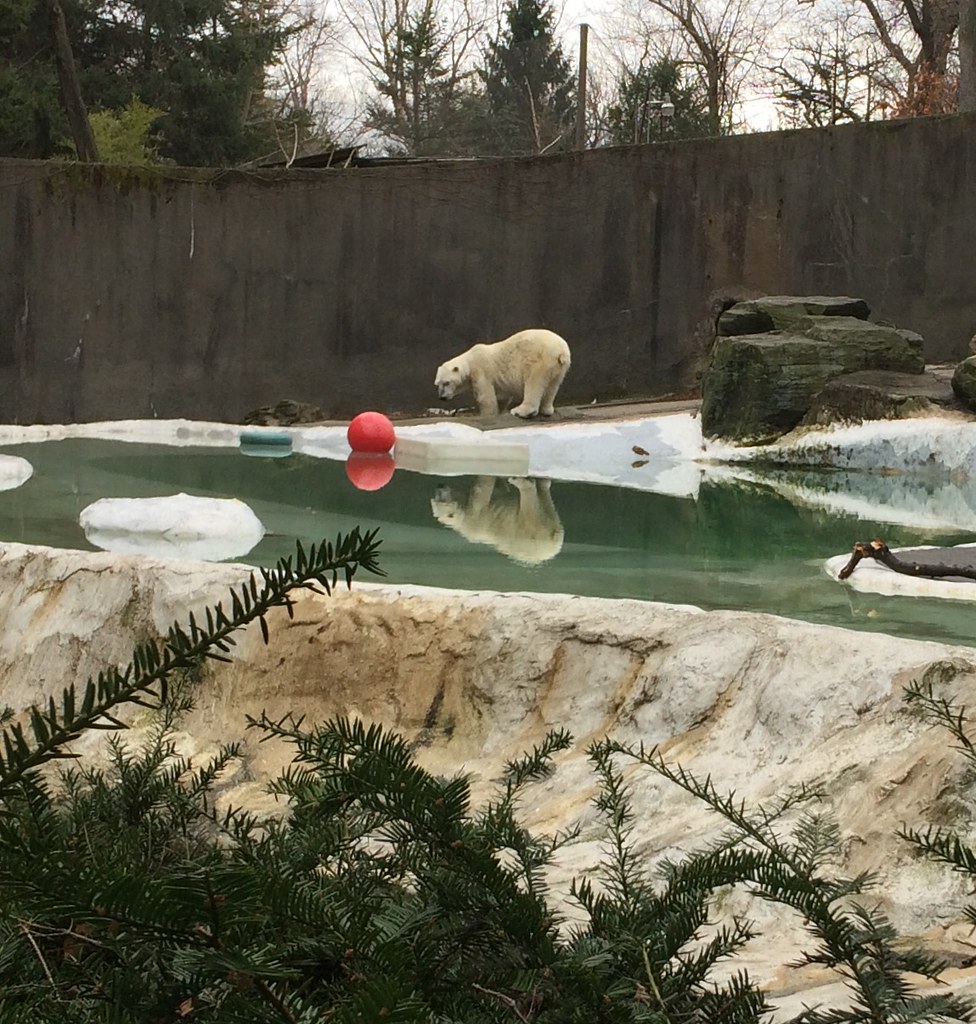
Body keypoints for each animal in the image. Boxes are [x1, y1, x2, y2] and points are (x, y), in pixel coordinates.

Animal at [430, 475, 564, 565]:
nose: (439, 486)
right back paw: (529, 483)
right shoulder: (473, 517)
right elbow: (485, 490)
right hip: (533, 532)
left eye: (439, 498)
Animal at [434, 328, 571, 417]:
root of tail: (561, 350)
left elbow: (485, 397)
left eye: (446, 382)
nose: (442, 397)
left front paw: (488, 414)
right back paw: (546, 409)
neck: (470, 360)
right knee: (552, 386)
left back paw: (520, 411)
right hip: (559, 368)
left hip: (537, 361)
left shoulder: (480, 370)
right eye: (437, 384)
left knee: (533, 383)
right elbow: (501, 396)